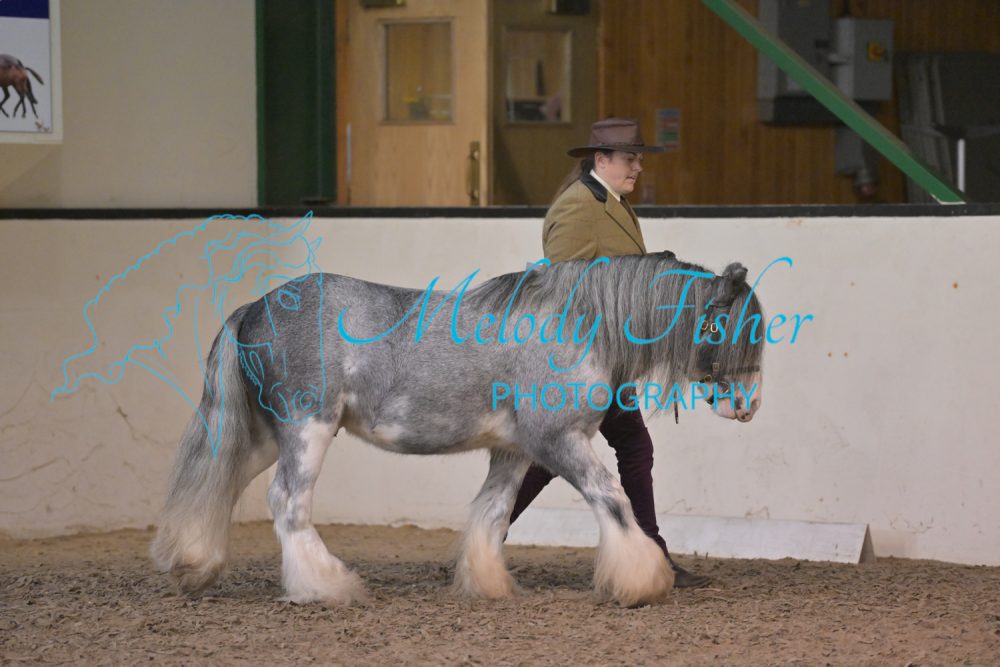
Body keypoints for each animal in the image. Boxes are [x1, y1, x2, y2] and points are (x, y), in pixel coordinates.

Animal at [151, 251, 764, 607]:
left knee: (219, 483)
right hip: (306, 430)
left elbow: (492, 514)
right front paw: (642, 580)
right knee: (287, 502)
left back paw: (193, 566)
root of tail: (255, 306)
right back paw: (325, 587)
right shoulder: (558, 441)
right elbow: (613, 499)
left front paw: (488, 585)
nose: (749, 406)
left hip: (260, 434)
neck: (579, 324)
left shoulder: (515, 452)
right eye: (729, 328)